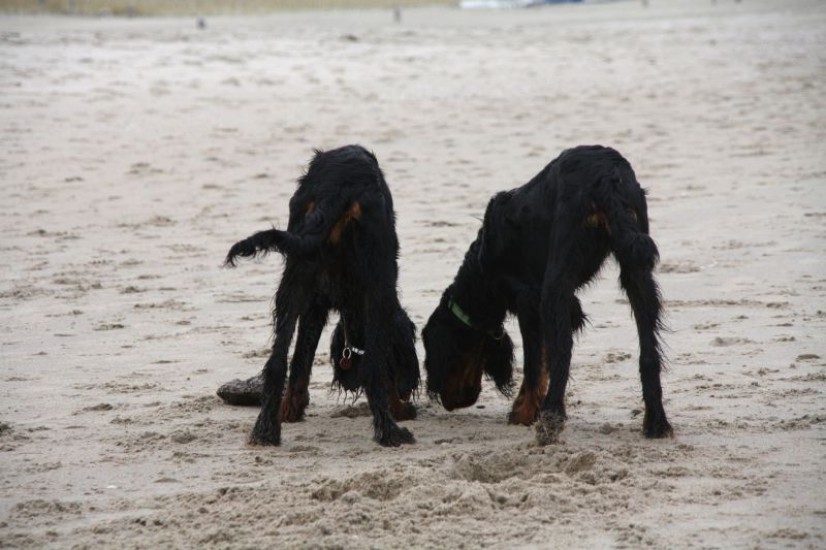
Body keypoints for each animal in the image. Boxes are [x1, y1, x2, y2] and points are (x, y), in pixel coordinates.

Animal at [224, 145, 419, 447]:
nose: (407, 395)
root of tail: (337, 188)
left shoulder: (315, 306)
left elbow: (300, 363)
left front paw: (290, 411)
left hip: (294, 275)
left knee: (277, 362)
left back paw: (265, 430)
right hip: (377, 280)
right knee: (373, 369)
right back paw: (390, 432)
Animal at [422, 145, 673, 444]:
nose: (446, 401)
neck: (481, 267)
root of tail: (607, 178)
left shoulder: (528, 297)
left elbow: (535, 360)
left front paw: (524, 412)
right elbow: (543, 358)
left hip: (557, 278)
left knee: (563, 351)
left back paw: (551, 418)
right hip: (637, 268)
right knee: (648, 351)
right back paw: (656, 421)